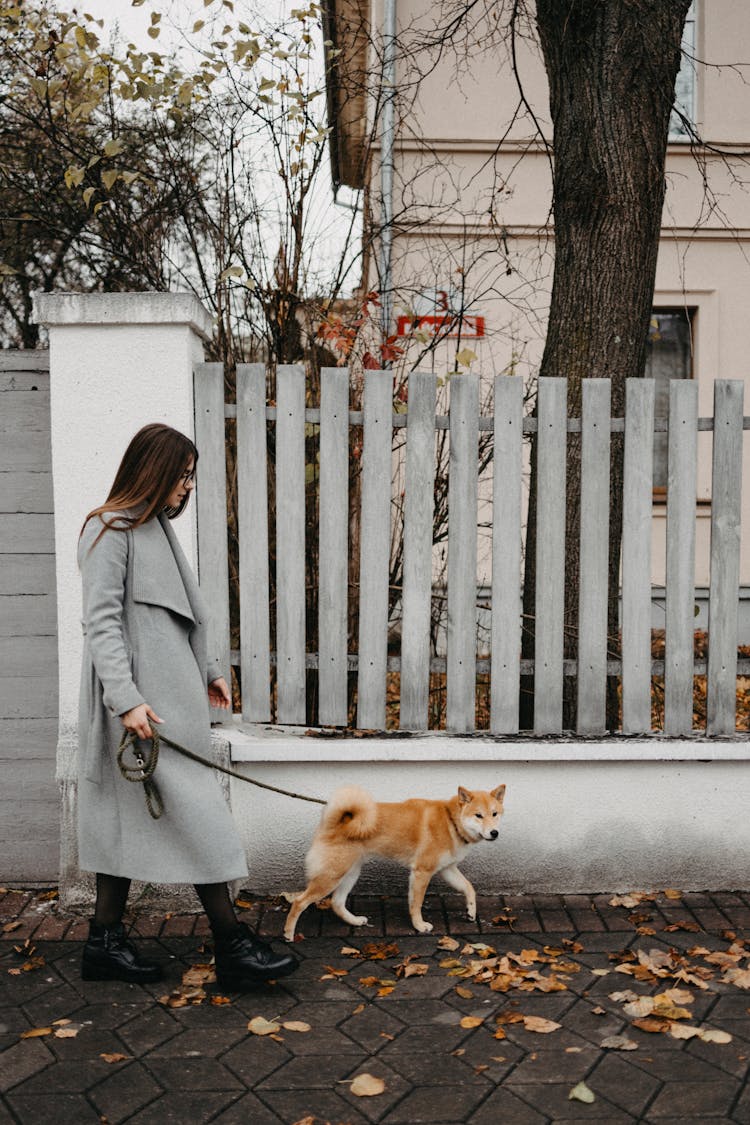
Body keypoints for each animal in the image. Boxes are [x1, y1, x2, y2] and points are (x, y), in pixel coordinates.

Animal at [284, 783, 508, 940]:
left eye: (494, 814)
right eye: (478, 815)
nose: (494, 833)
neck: (450, 821)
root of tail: (338, 820)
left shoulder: (447, 869)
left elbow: (469, 888)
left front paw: (471, 912)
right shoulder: (422, 871)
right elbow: (416, 904)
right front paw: (419, 926)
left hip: (350, 873)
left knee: (337, 903)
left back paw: (354, 921)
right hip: (331, 875)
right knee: (299, 902)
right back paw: (288, 934)